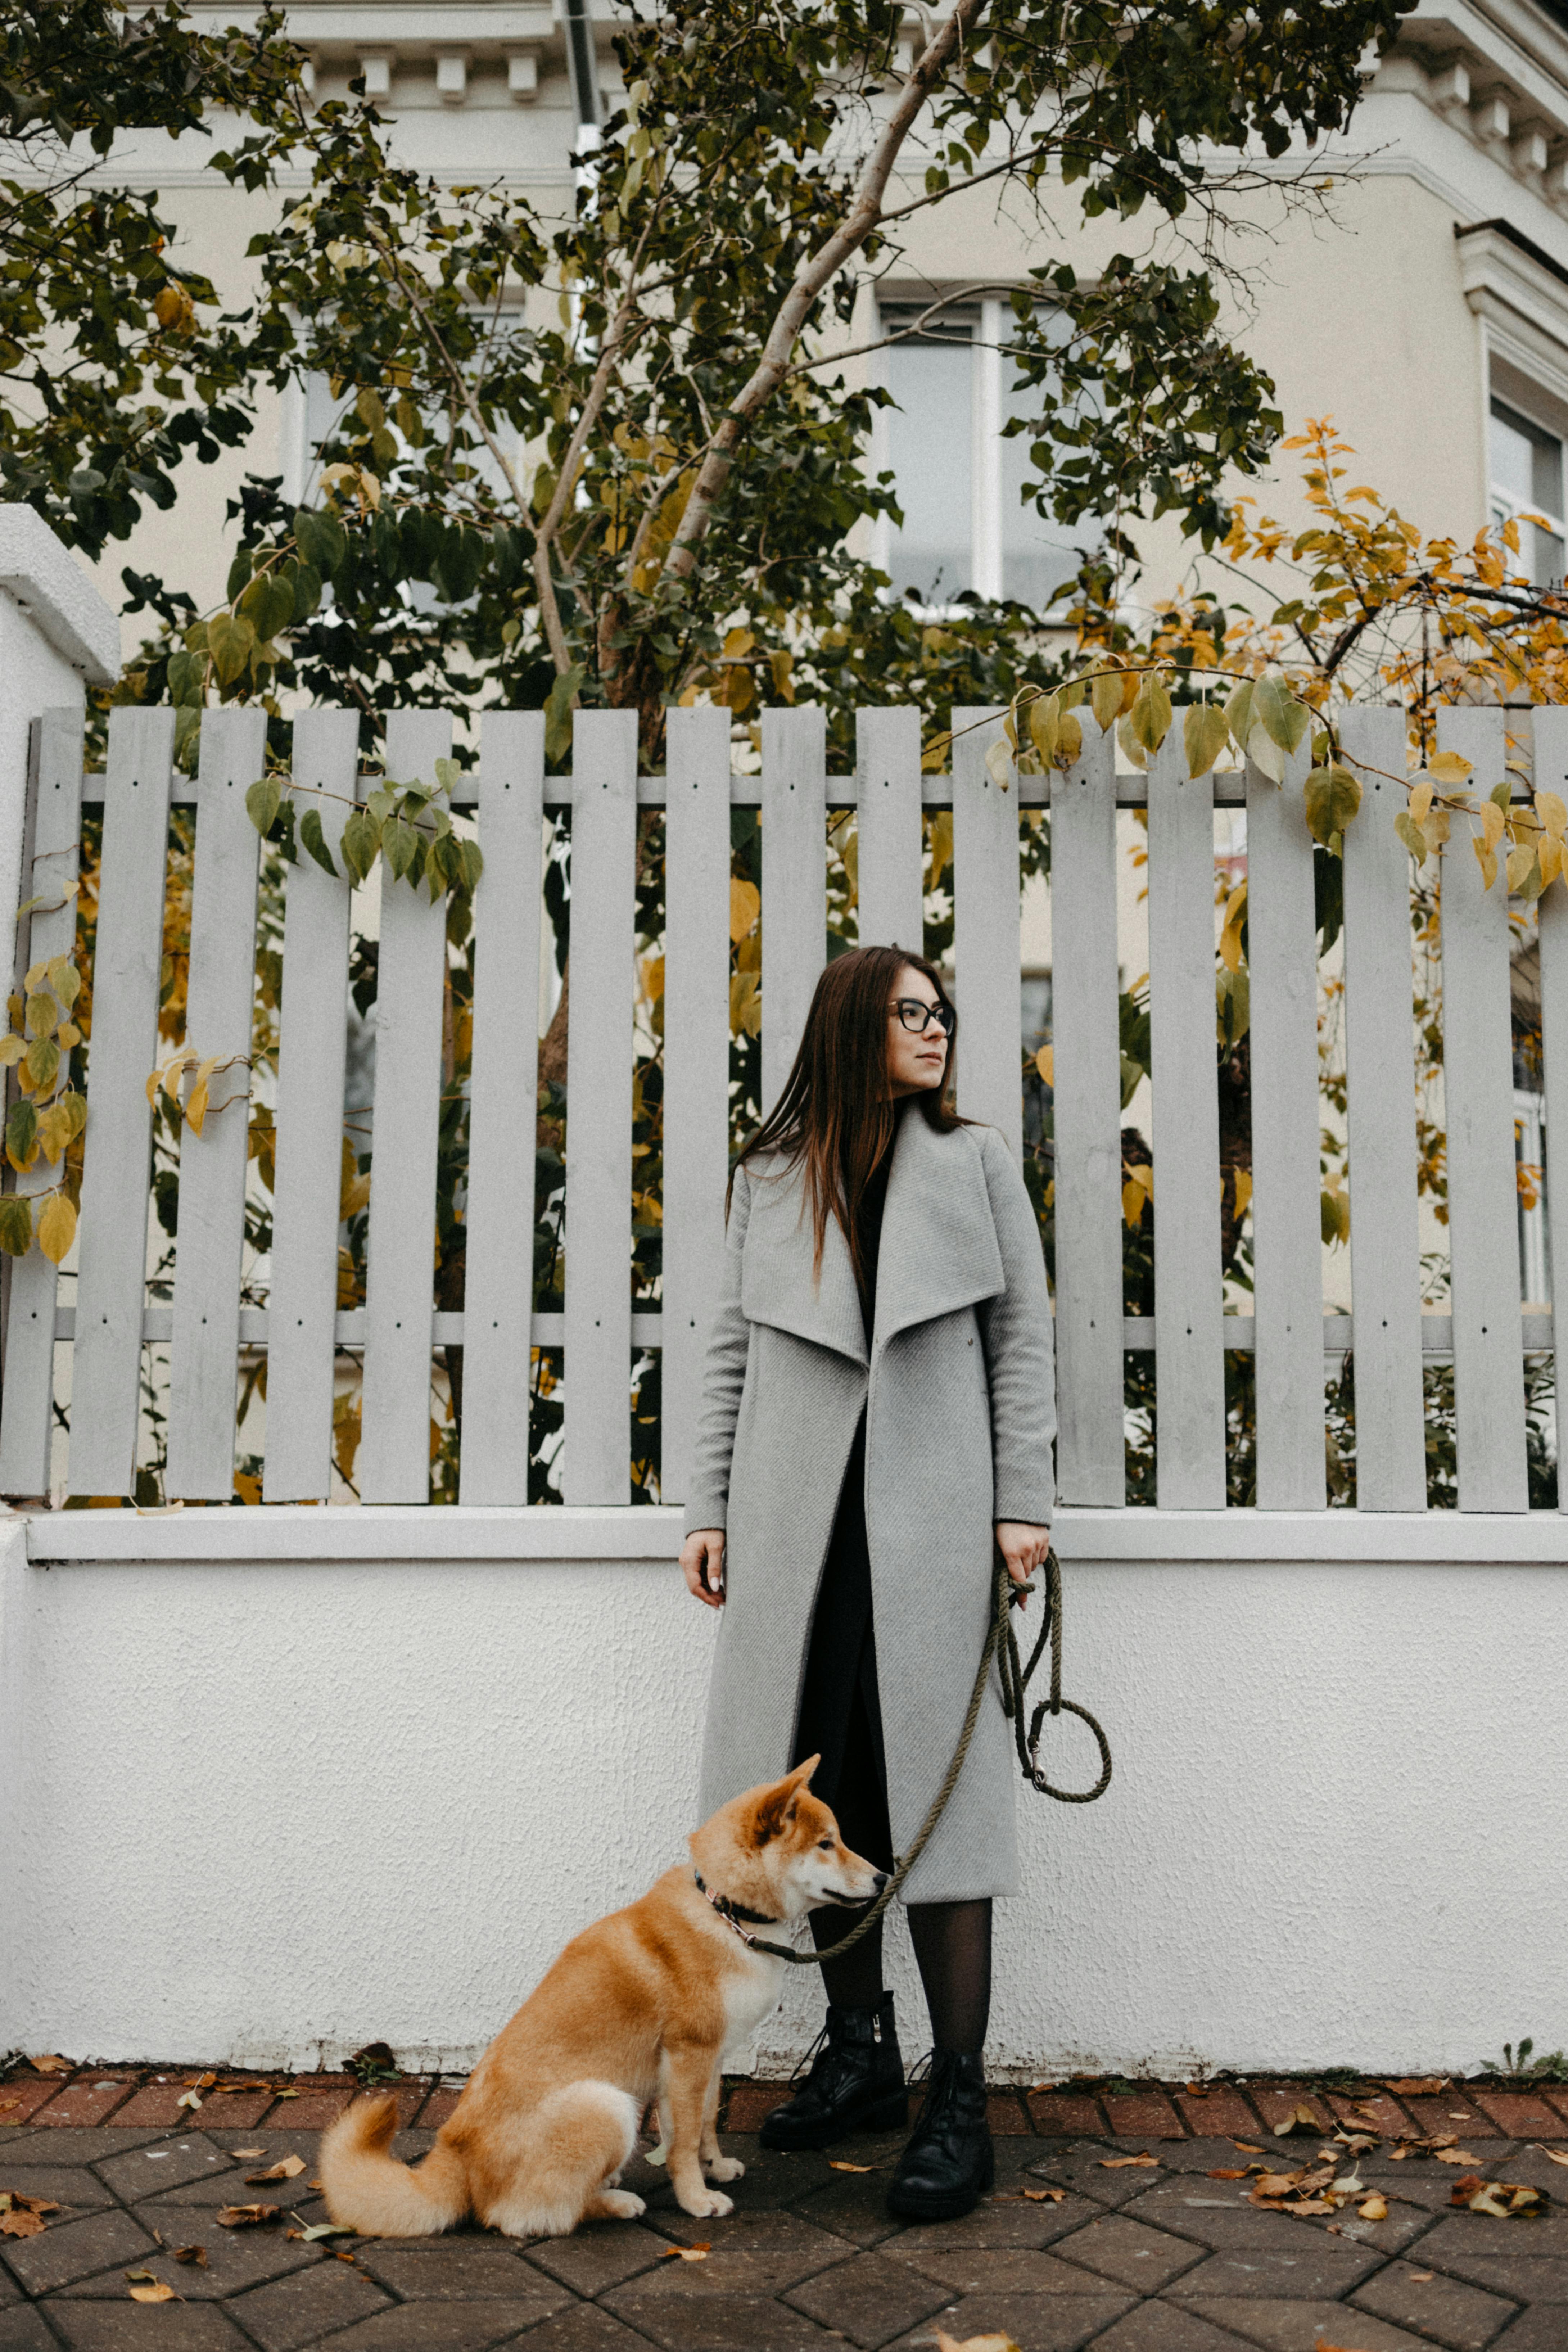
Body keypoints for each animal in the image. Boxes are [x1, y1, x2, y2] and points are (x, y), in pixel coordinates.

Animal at [320, 1769, 889, 2239]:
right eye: (827, 1843)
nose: (884, 1877)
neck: (727, 1914)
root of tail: (452, 2159)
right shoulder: (689, 2055)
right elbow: (682, 2141)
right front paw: (695, 2198)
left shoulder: (708, 2059)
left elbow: (701, 2124)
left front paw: (715, 2167)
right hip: (608, 2104)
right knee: (524, 2215)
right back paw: (617, 2202)